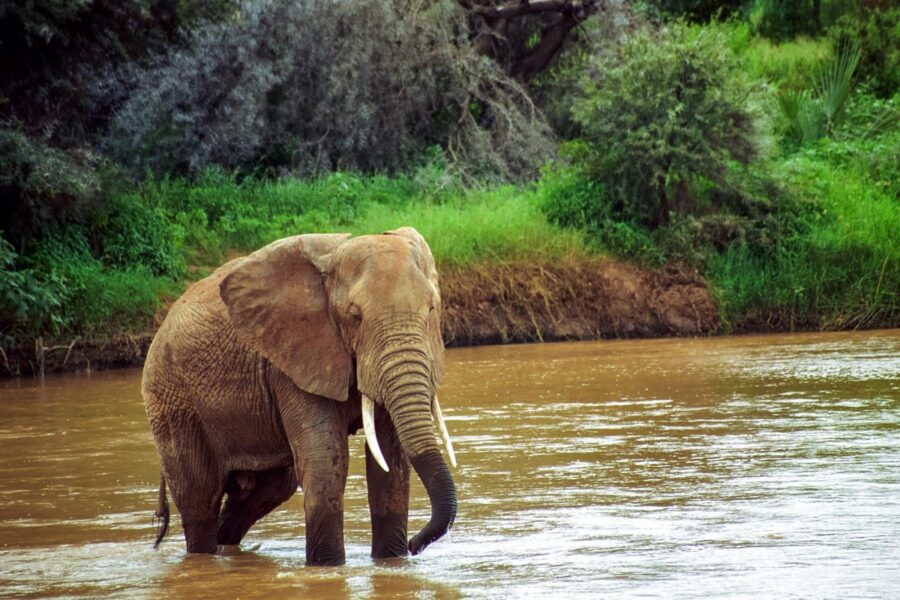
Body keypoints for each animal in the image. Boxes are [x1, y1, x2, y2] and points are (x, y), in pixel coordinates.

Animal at [141, 227, 457, 565]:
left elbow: (390, 465)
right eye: (355, 316)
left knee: (265, 492)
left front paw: (391, 562)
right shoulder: (291, 361)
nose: (415, 544)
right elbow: (326, 465)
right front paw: (327, 567)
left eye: (431, 309)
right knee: (200, 501)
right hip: (172, 401)